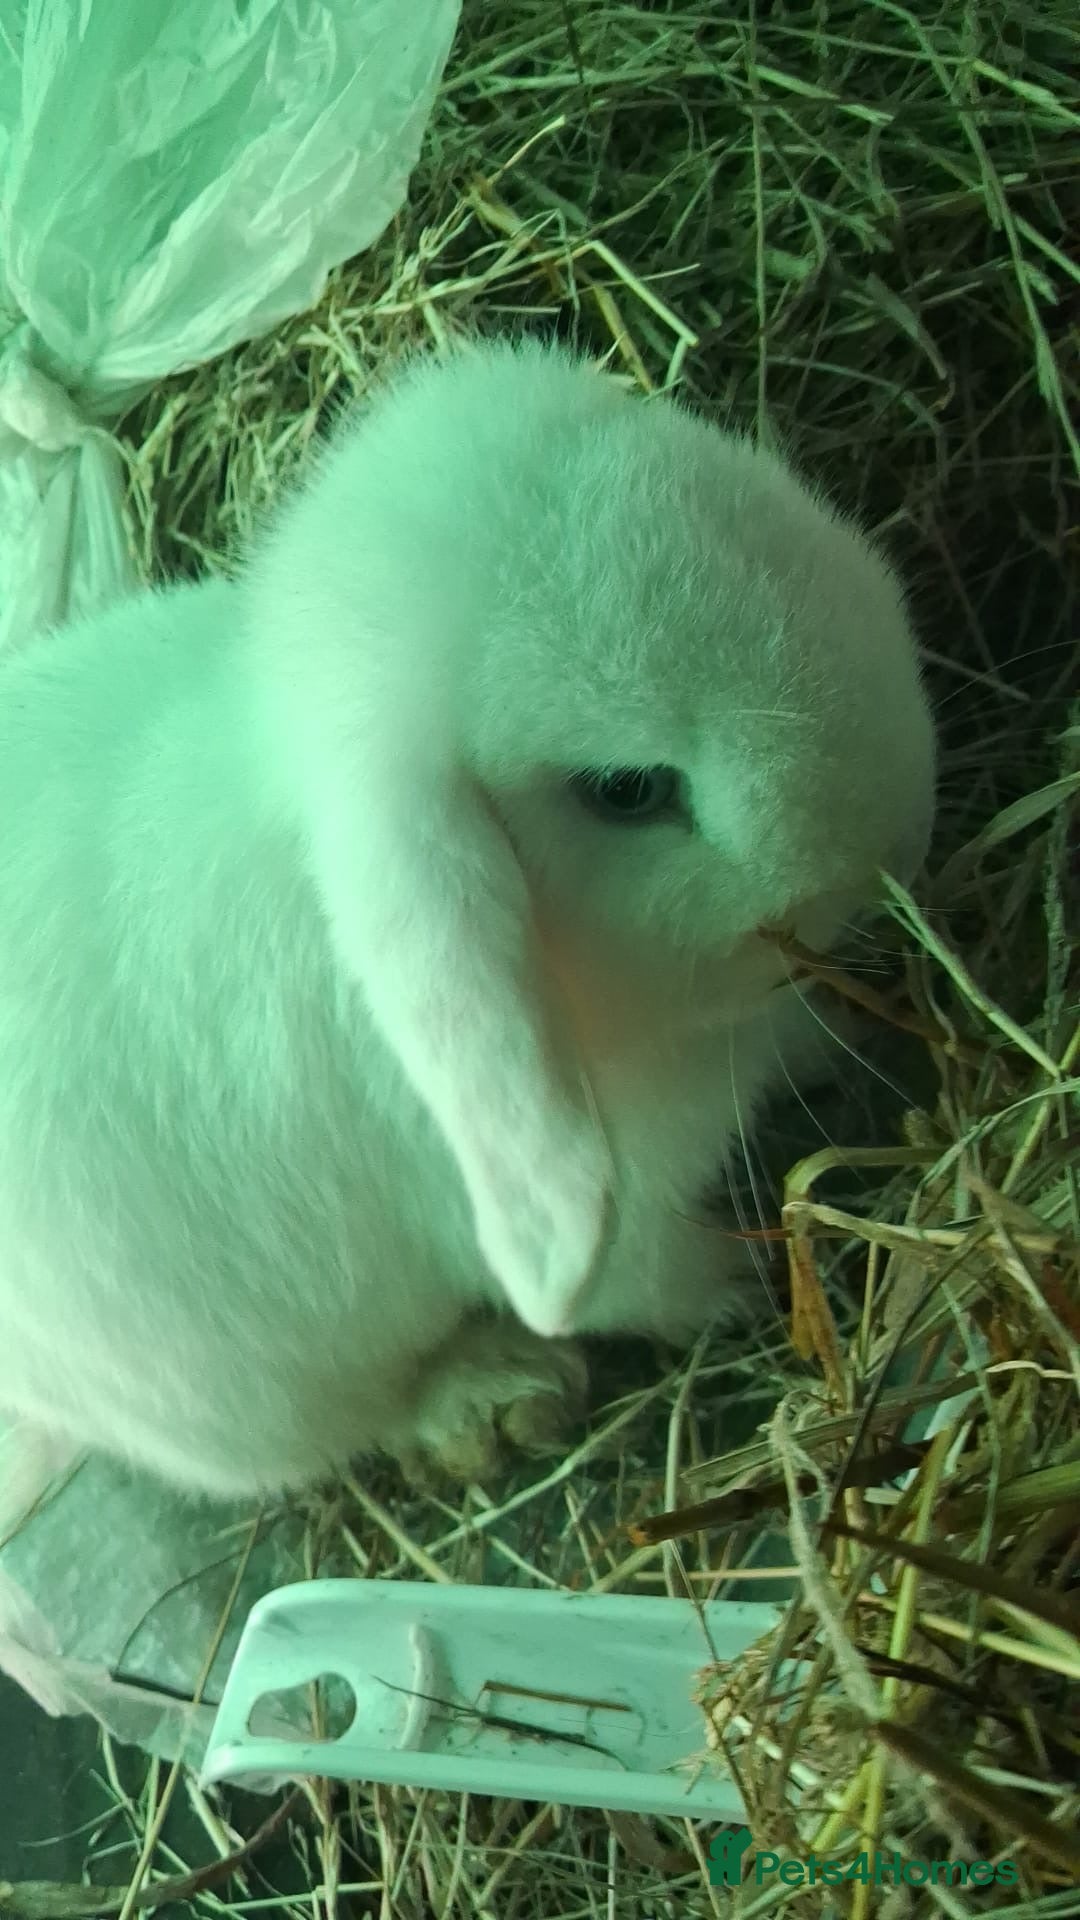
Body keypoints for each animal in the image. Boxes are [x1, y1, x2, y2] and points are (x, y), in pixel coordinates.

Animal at [0, 333, 936, 1502]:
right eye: (627, 790)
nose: (903, 831)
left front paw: (850, 1040)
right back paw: (492, 1391)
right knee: (362, 1419)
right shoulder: (603, 1224)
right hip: (247, 1402)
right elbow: (644, 1283)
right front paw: (739, 1286)